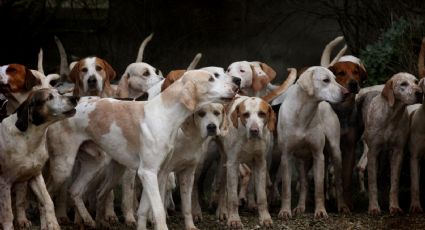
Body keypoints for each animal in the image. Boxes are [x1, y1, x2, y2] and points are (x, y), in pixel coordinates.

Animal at [0, 89, 78, 230]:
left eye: (59, 92)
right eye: (49, 97)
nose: (74, 98)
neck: (28, 139)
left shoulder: (35, 175)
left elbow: (48, 201)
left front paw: (53, 224)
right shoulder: (4, 182)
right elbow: (7, 214)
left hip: (22, 180)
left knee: (20, 202)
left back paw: (22, 220)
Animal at [274, 67, 348, 219]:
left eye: (335, 79)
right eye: (326, 80)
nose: (347, 93)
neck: (303, 113)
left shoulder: (318, 155)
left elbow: (319, 188)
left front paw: (320, 211)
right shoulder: (286, 156)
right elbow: (286, 189)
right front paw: (285, 211)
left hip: (335, 152)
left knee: (338, 182)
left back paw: (342, 206)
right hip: (301, 161)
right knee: (304, 183)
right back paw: (300, 207)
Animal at [358, 72, 420, 216]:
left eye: (416, 81)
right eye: (403, 84)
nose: (420, 92)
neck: (391, 116)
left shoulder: (398, 152)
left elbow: (395, 183)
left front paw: (394, 207)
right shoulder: (373, 153)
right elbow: (373, 184)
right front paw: (374, 208)